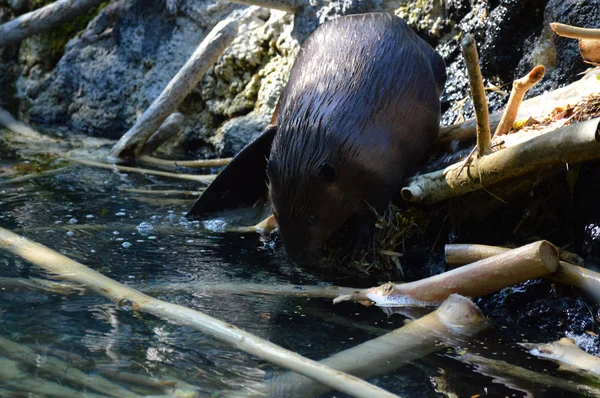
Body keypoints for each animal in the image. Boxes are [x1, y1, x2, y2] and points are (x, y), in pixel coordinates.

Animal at [188, 12, 446, 262]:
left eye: (312, 217)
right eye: (277, 214)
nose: (298, 258)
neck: (312, 135)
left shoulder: (381, 168)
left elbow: (375, 207)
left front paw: (358, 245)